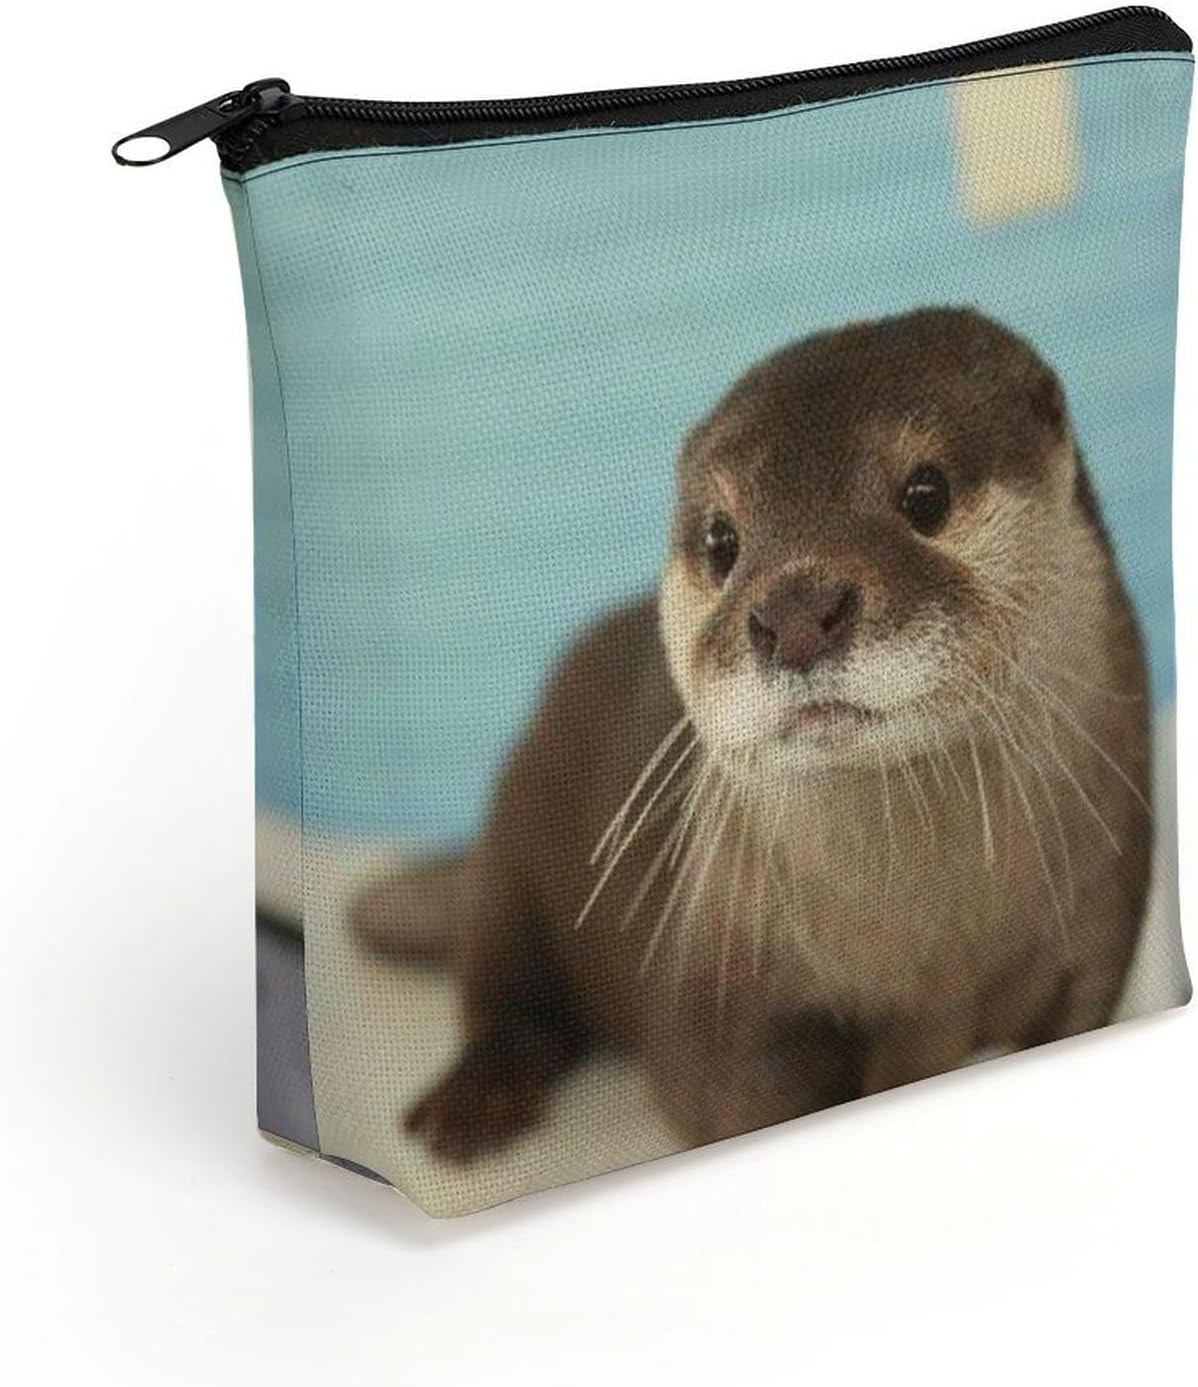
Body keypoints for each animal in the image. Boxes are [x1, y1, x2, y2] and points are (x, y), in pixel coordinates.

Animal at [353, 307, 1151, 1163]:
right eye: (721, 541)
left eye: (926, 492)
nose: (796, 611)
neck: (931, 954)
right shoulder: (716, 985)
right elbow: (729, 1087)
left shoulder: (1101, 920)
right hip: (517, 837)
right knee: (505, 987)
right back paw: (472, 1104)